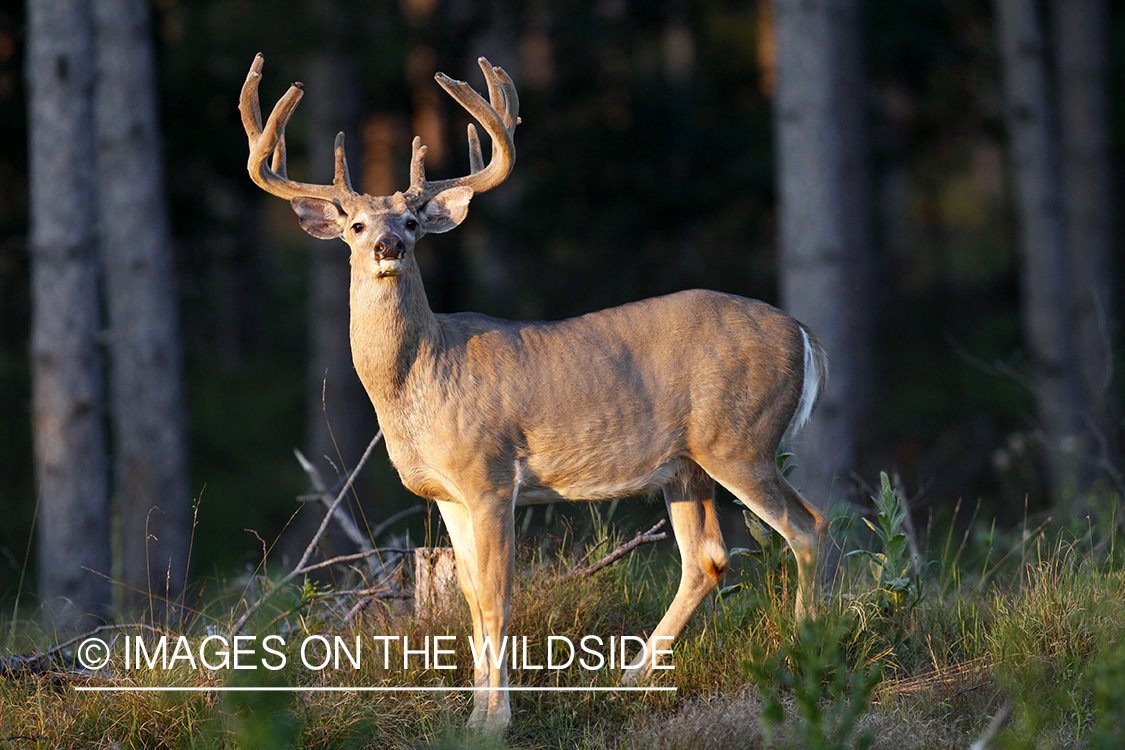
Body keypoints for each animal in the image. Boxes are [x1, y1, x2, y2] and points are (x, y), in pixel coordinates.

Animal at [241, 54, 832, 733]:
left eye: (412, 221)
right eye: (357, 225)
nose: (389, 245)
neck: (422, 379)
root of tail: (803, 331)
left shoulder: (491, 476)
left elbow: (498, 598)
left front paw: (497, 720)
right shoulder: (446, 494)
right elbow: (470, 600)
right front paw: (473, 716)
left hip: (740, 439)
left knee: (808, 527)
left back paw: (805, 655)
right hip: (687, 466)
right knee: (707, 557)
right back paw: (630, 677)